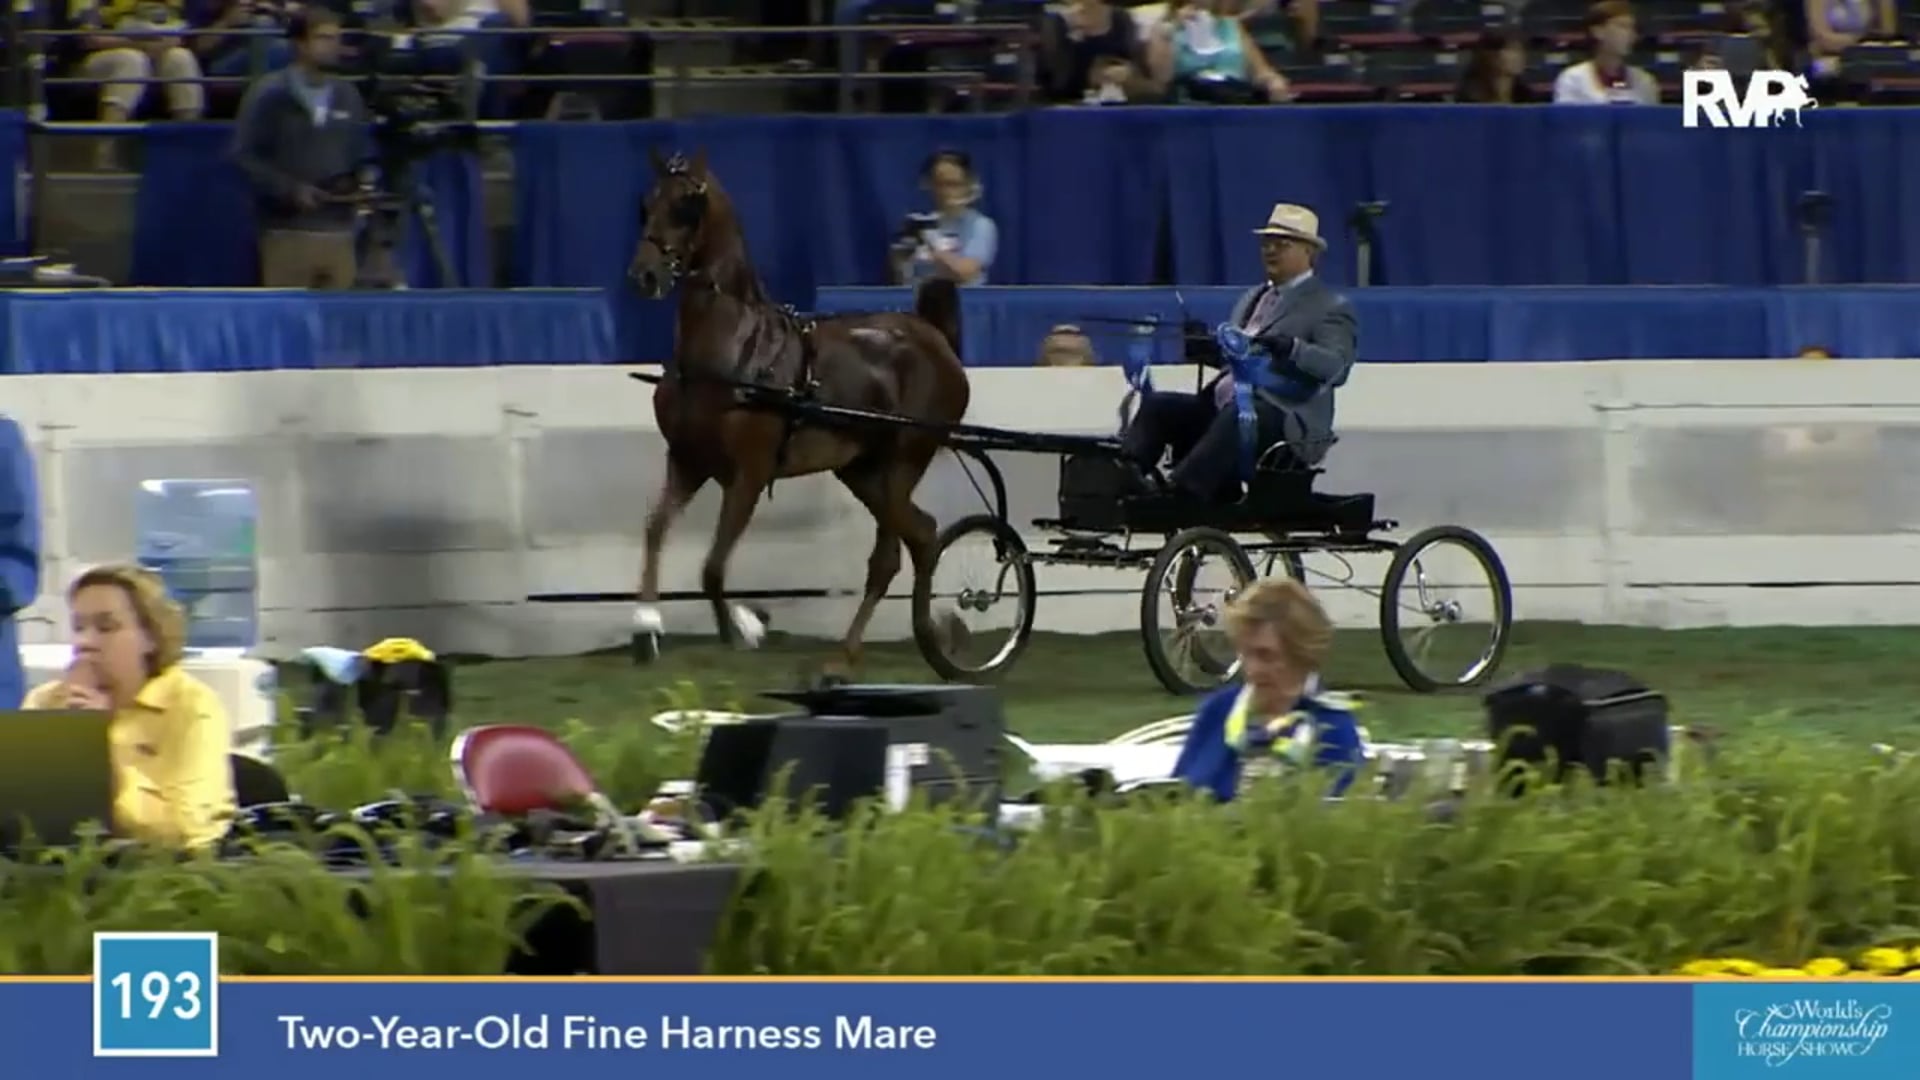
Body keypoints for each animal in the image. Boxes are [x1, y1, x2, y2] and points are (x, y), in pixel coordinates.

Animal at [626, 148, 973, 674]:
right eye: (646, 204)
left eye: (688, 205)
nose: (644, 276)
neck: (731, 350)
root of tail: (932, 335)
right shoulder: (687, 462)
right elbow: (655, 530)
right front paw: (647, 627)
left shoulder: (748, 474)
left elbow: (712, 568)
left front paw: (745, 627)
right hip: (862, 469)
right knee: (922, 535)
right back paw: (931, 632)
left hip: (904, 458)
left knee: (891, 555)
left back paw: (853, 652)